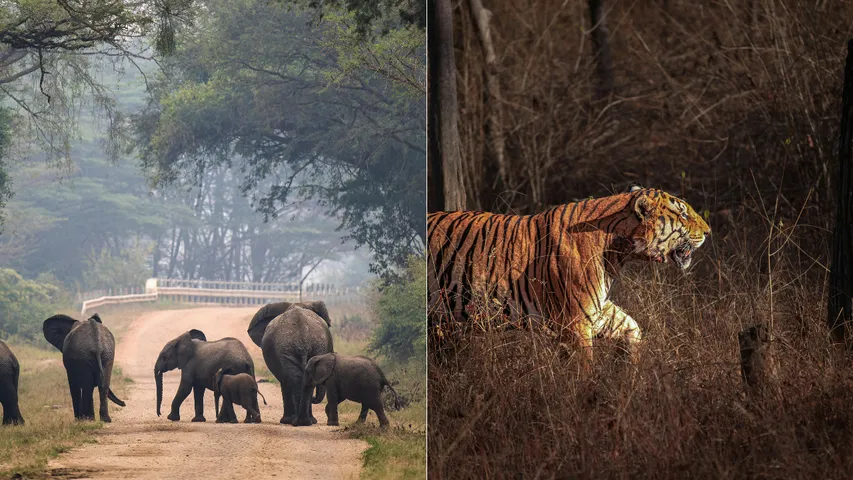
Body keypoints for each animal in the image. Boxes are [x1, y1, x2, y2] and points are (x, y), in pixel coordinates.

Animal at [427, 185, 711, 360]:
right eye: (683, 214)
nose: (709, 231)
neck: (618, 252)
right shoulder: (575, 323)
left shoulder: (596, 311)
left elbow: (632, 328)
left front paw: (627, 378)